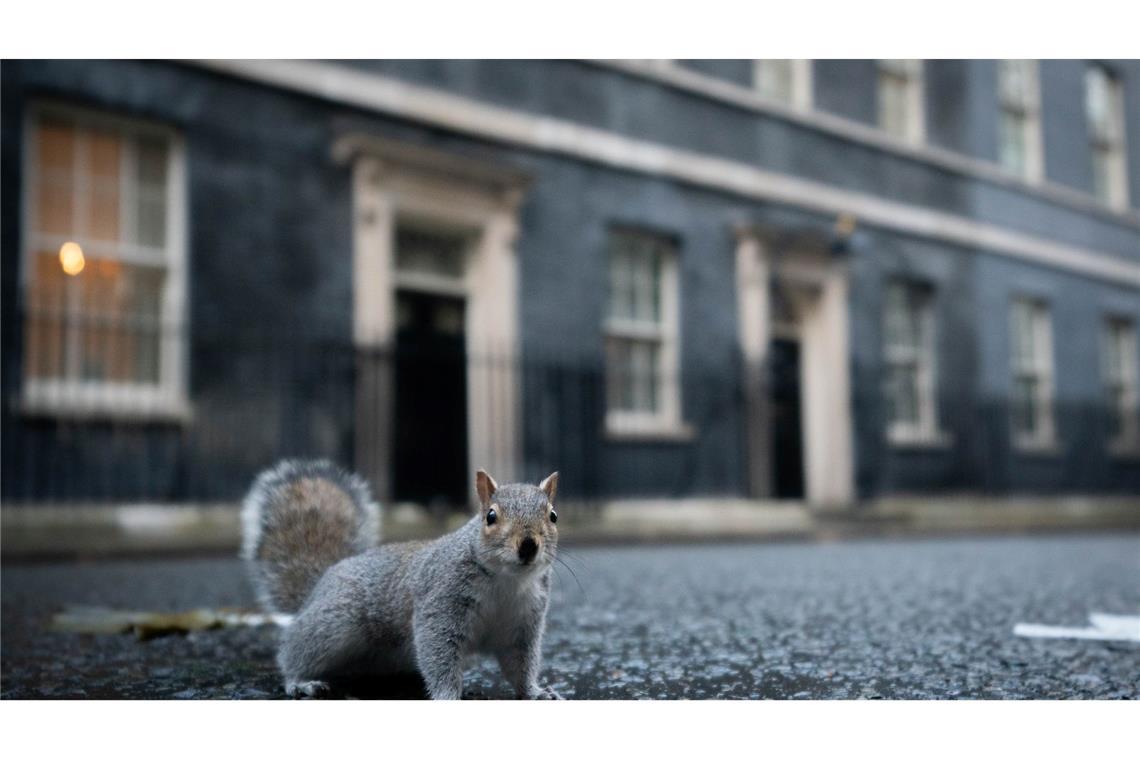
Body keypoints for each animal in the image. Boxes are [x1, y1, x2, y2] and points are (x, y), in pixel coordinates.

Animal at [240, 458, 560, 701]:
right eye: (491, 517)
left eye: (553, 516)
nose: (528, 545)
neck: (507, 581)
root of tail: (319, 583)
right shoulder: (441, 601)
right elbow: (438, 652)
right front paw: (448, 696)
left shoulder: (523, 622)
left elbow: (520, 663)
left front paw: (536, 692)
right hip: (334, 623)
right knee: (295, 650)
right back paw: (300, 681)